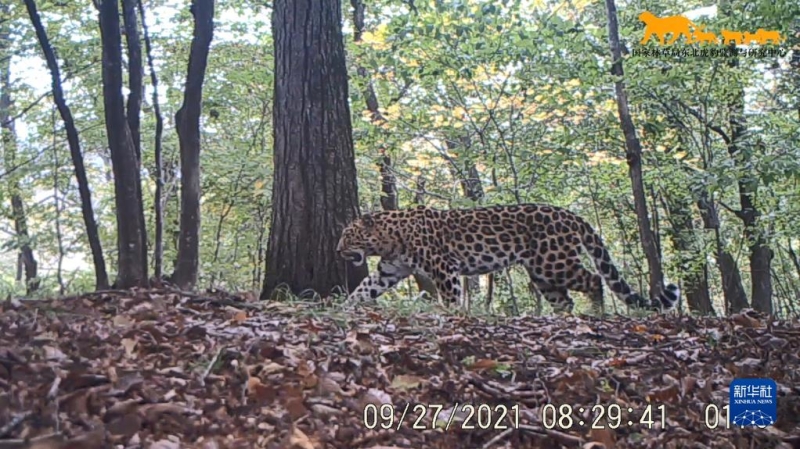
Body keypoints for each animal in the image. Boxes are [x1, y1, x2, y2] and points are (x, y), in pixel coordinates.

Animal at [334, 203, 680, 312]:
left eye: (348, 235)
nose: (337, 250)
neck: (389, 239)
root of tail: (571, 215)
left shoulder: (444, 268)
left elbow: (451, 296)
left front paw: (452, 315)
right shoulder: (389, 270)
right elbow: (364, 288)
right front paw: (343, 307)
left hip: (553, 262)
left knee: (594, 279)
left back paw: (596, 314)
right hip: (541, 273)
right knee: (564, 300)